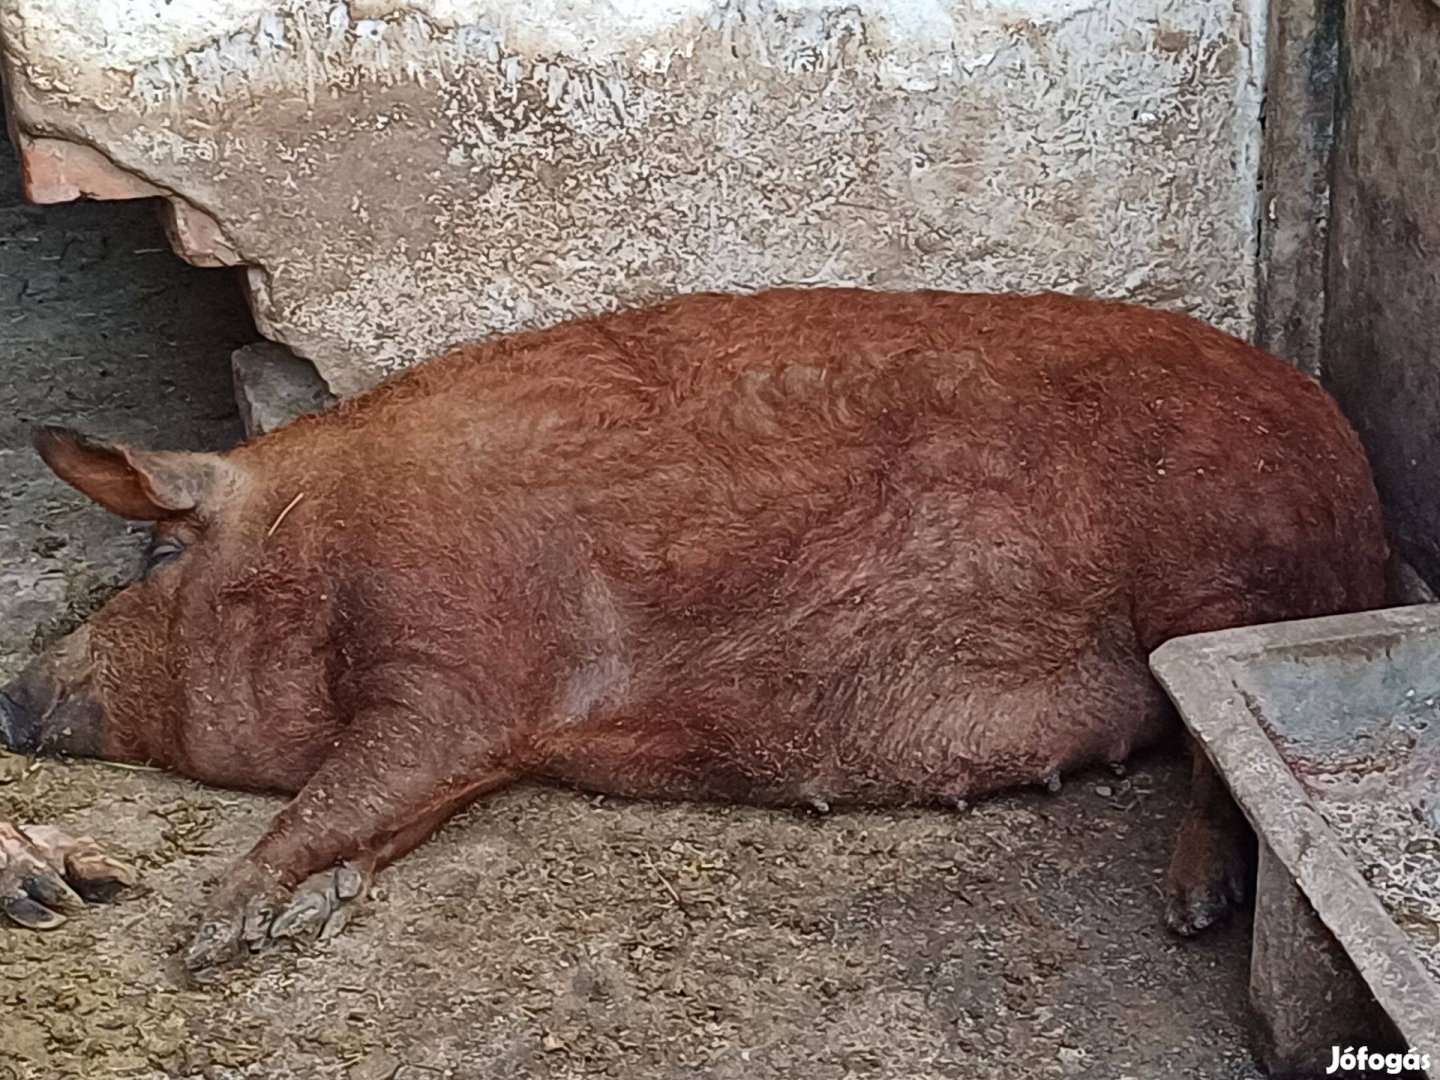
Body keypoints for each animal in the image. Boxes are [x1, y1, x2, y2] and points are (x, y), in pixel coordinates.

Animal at [2, 288, 1393, 979]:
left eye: (160, 554)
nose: (13, 695)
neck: (329, 530)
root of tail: (1351, 462)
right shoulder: (489, 733)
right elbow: (388, 806)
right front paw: (294, 919)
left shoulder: (457, 652)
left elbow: (354, 780)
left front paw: (212, 934)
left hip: (1218, 589)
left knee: (1215, 760)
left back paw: (1193, 913)